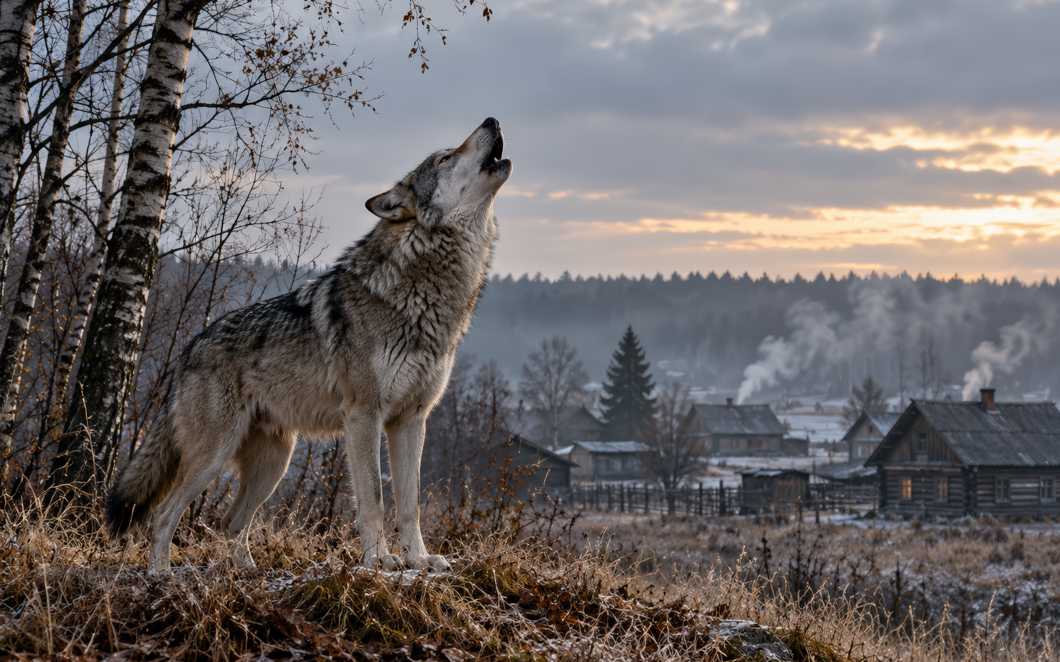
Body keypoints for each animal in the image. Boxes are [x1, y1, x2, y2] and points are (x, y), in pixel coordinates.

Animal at [106, 118, 512, 574]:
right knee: (165, 514)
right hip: (214, 455)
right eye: (445, 157)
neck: (427, 292)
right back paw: (161, 573)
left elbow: (411, 504)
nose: (493, 120)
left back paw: (246, 569)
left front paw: (420, 559)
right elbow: (374, 499)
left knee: (231, 521)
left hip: (274, 462)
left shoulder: (411, 420)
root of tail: (189, 349)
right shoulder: (364, 416)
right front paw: (380, 560)